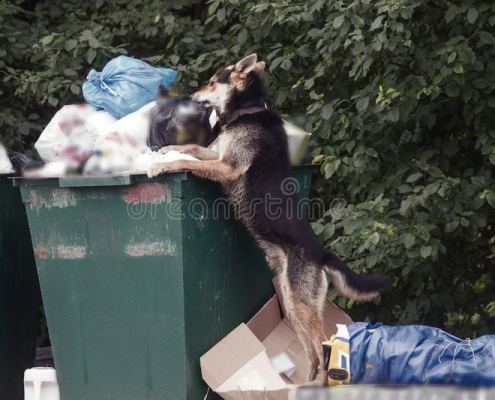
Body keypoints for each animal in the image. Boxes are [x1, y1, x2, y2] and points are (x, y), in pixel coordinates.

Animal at [149, 54, 394, 384]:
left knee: (324, 345)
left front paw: (159, 165)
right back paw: (304, 383)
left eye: (212, 82)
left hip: (300, 303)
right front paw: (164, 149)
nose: (191, 96)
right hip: (292, 302)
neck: (248, 110)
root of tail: (322, 252)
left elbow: (186, 160)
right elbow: (189, 148)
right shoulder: (216, 155)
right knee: (312, 352)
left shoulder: (227, 166)